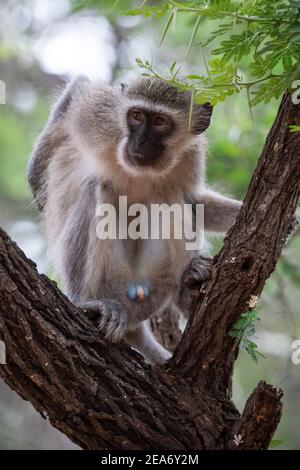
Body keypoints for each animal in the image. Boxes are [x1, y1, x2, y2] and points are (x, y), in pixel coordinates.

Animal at [28, 76, 241, 364]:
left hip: (155, 282)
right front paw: (36, 180)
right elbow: (75, 94)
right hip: (111, 281)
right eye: (136, 116)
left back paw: (188, 288)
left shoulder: (191, 155)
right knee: (96, 186)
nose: (139, 142)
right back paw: (85, 302)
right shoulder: (99, 116)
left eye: (160, 122)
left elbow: (195, 201)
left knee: (172, 197)